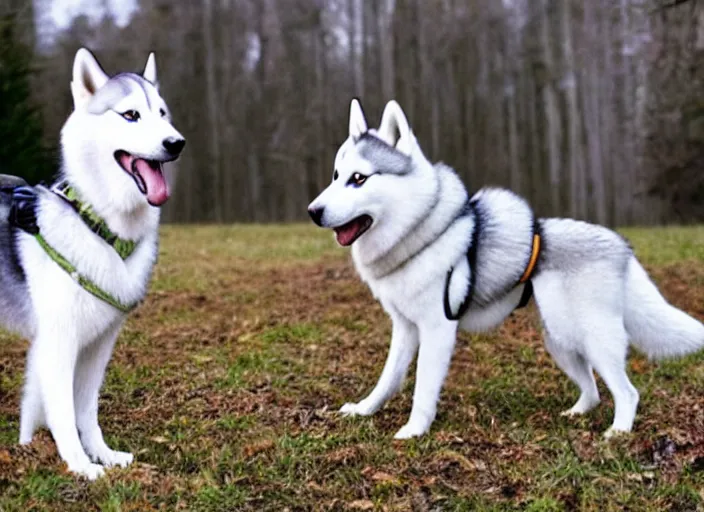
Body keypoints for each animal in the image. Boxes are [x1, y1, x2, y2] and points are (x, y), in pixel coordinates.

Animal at [0, 50, 184, 478]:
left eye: (163, 113)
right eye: (131, 115)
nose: (176, 143)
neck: (99, 226)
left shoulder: (98, 344)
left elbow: (84, 409)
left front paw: (99, 455)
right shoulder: (58, 343)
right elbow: (64, 413)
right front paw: (80, 466)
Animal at [308, 99, 704, 440]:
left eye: (359, 179)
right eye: (336, 175)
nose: (313, 212)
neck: (424, 232)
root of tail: (620, 244)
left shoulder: (437, 330)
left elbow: (422, 390)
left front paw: (414, 431)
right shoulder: (405, 329)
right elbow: (387, 379)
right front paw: (365, 410)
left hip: (590, 336)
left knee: (627, 392)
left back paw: (618, 433)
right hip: (560, 338)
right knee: (592, 390)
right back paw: (578, 413)